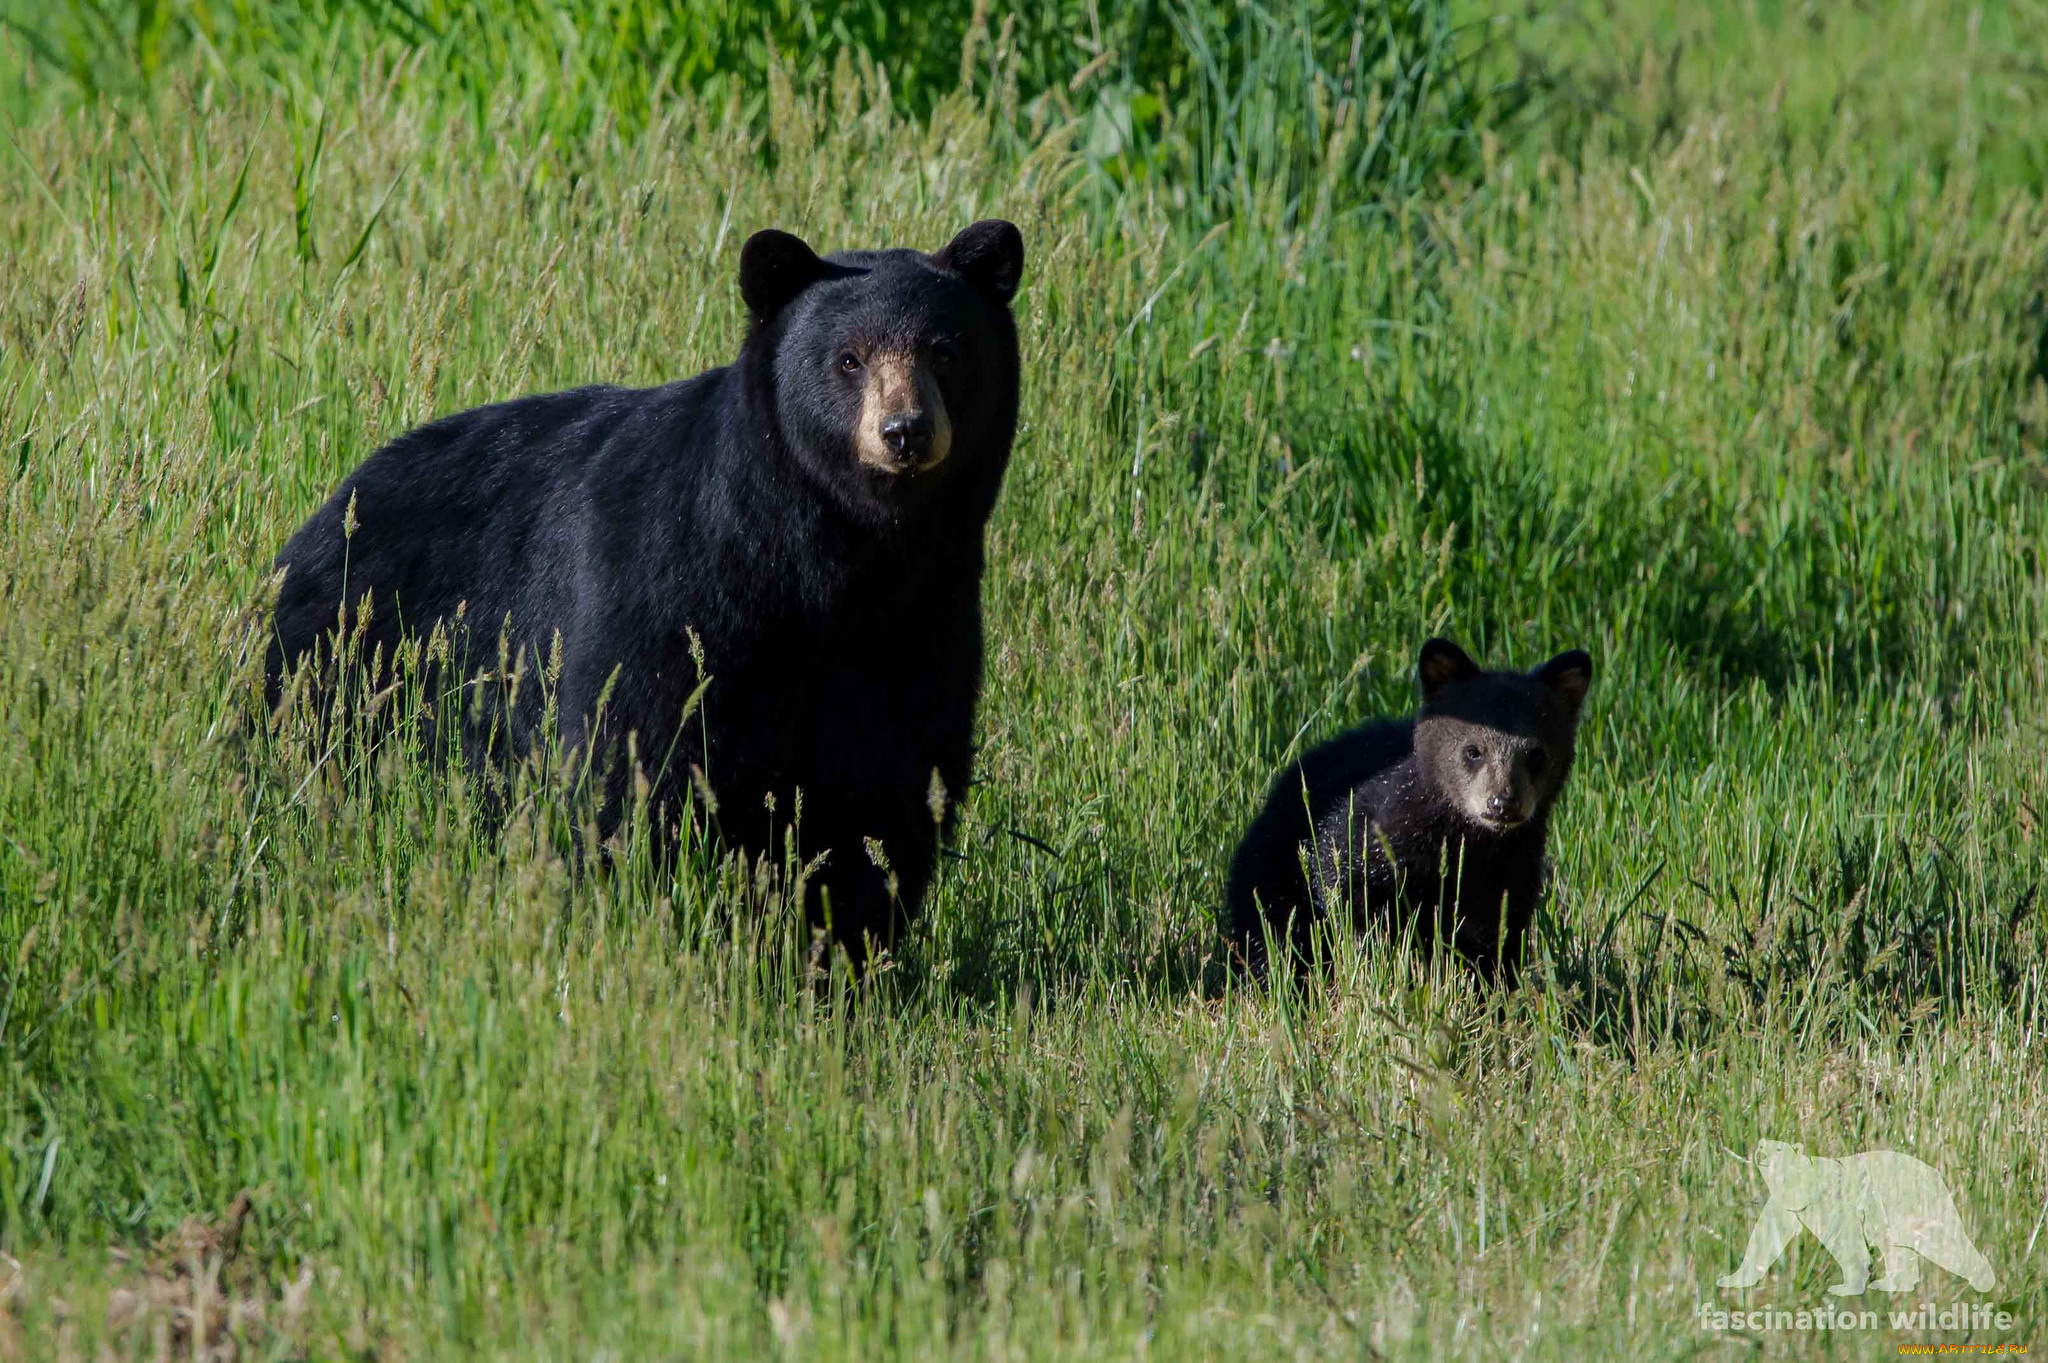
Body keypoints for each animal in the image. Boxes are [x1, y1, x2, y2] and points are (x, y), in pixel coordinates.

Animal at [270, 220, 1024, 953]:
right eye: (848, 358)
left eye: (946, 350)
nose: (905, 431)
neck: (837, 561)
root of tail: (332, 504)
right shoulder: (668, 589)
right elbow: (636, 758)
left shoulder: (922, 624)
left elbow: (885, 789)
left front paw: (845, 946)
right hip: (346, 662)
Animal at [1220, 638, 1589, 986]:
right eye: (1473, 750)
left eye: (1536, 754)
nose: (1502, 804)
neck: (1471, 843)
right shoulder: (1370, 834)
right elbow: (1342, 882)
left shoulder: (1513, 868)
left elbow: (1500, 933)